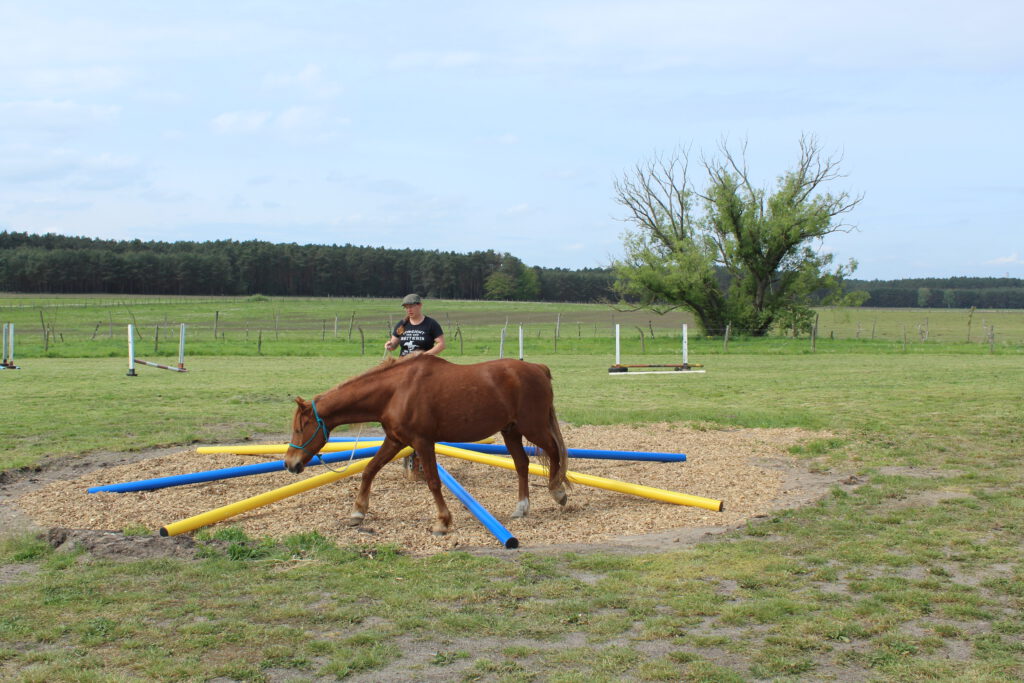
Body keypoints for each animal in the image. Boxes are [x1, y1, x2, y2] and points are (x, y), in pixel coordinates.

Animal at [282, 356, 569, 536]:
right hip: (511, 431)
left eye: (300, 428)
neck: (396, 391)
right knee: (522, 464)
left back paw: (558, 492)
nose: (290, 463)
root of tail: (537, 368)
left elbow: (432, 481)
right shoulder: (396, 440)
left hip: (533, 428)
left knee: (554, 452)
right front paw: (358, 512)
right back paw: (522, 507)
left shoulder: (422, 441)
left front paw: (443, 521)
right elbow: (369, 470)